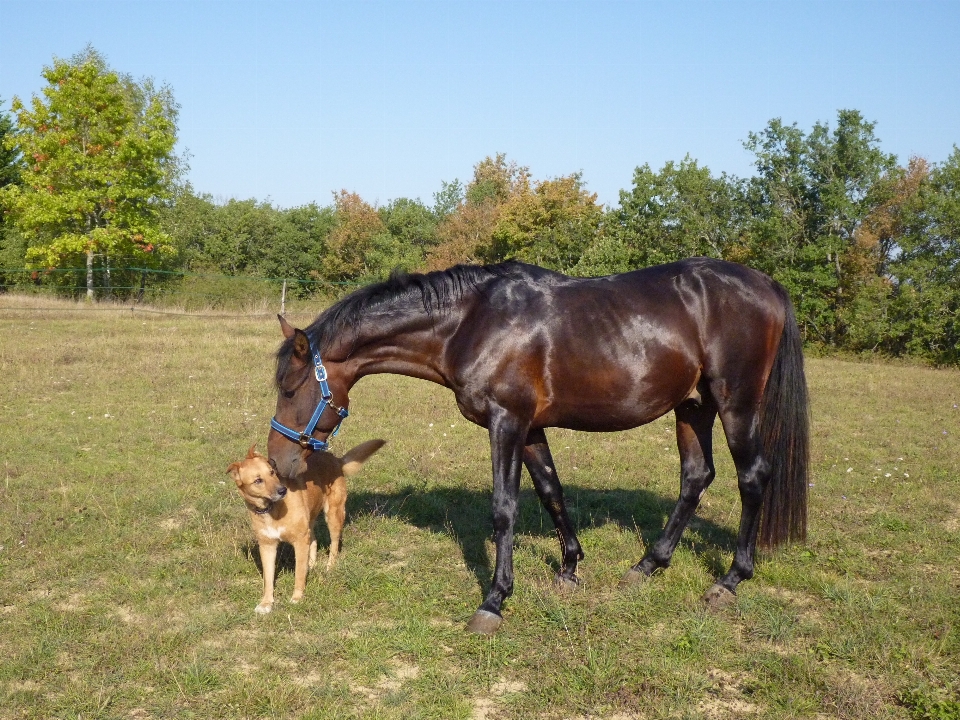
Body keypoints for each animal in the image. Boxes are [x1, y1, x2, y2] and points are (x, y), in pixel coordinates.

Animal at [227, 438, 384, 612]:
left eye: (272, 472)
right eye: (258, 480)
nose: (282, 490)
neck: (271, 509)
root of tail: (335, 459)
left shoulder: (300, 541)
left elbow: (299, 573)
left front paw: (297, 597)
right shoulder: (267, 546)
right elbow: (268, 579)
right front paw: (266, 603)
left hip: (333, 514)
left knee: (334, 543)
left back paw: (329, 566)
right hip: (310, 519)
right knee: (314, 540)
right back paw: (312, 564)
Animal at [266, 258, 808, 636]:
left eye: (289, 389)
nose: (278, 462)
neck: (471, 323)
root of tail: (767, 285)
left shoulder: (506, 422)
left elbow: (505, 508)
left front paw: (494, 601)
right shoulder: (529, 429)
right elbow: (551, 491)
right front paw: (569, 569)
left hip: (736, 404)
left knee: (752, 478)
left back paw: (730, 580)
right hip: (692, 407)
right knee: (696, 477)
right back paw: (647, 566)